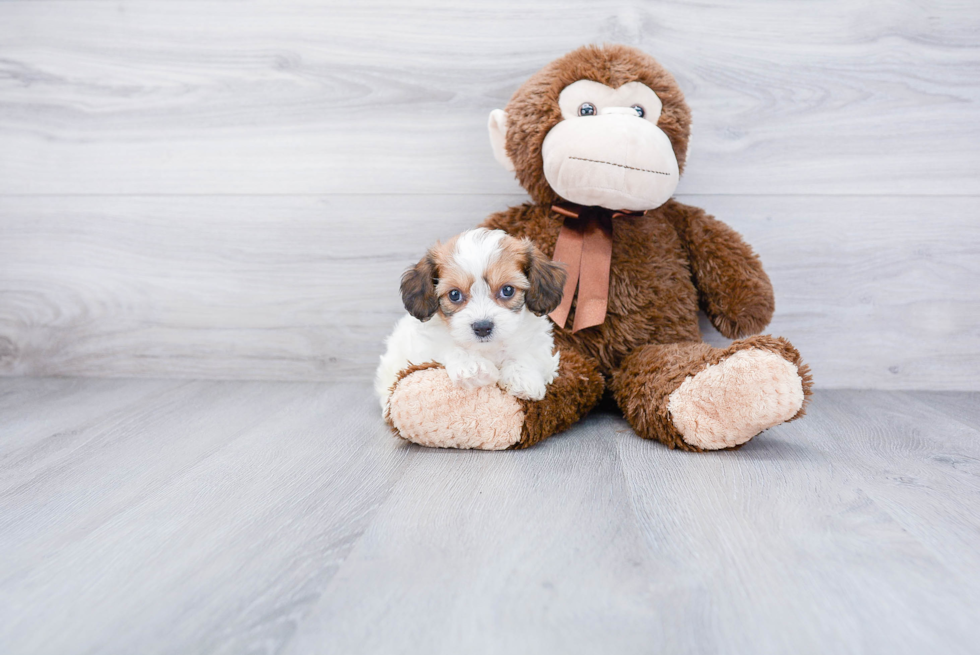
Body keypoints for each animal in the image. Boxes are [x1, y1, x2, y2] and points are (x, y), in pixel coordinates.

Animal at [378, 228, 572, 412]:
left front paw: (522, 377)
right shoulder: (425, 347)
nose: (483, 327)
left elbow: (527, 352)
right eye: (454, 294)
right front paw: (472, 367)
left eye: (507, 290)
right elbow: (450, 347)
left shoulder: (538, 343)